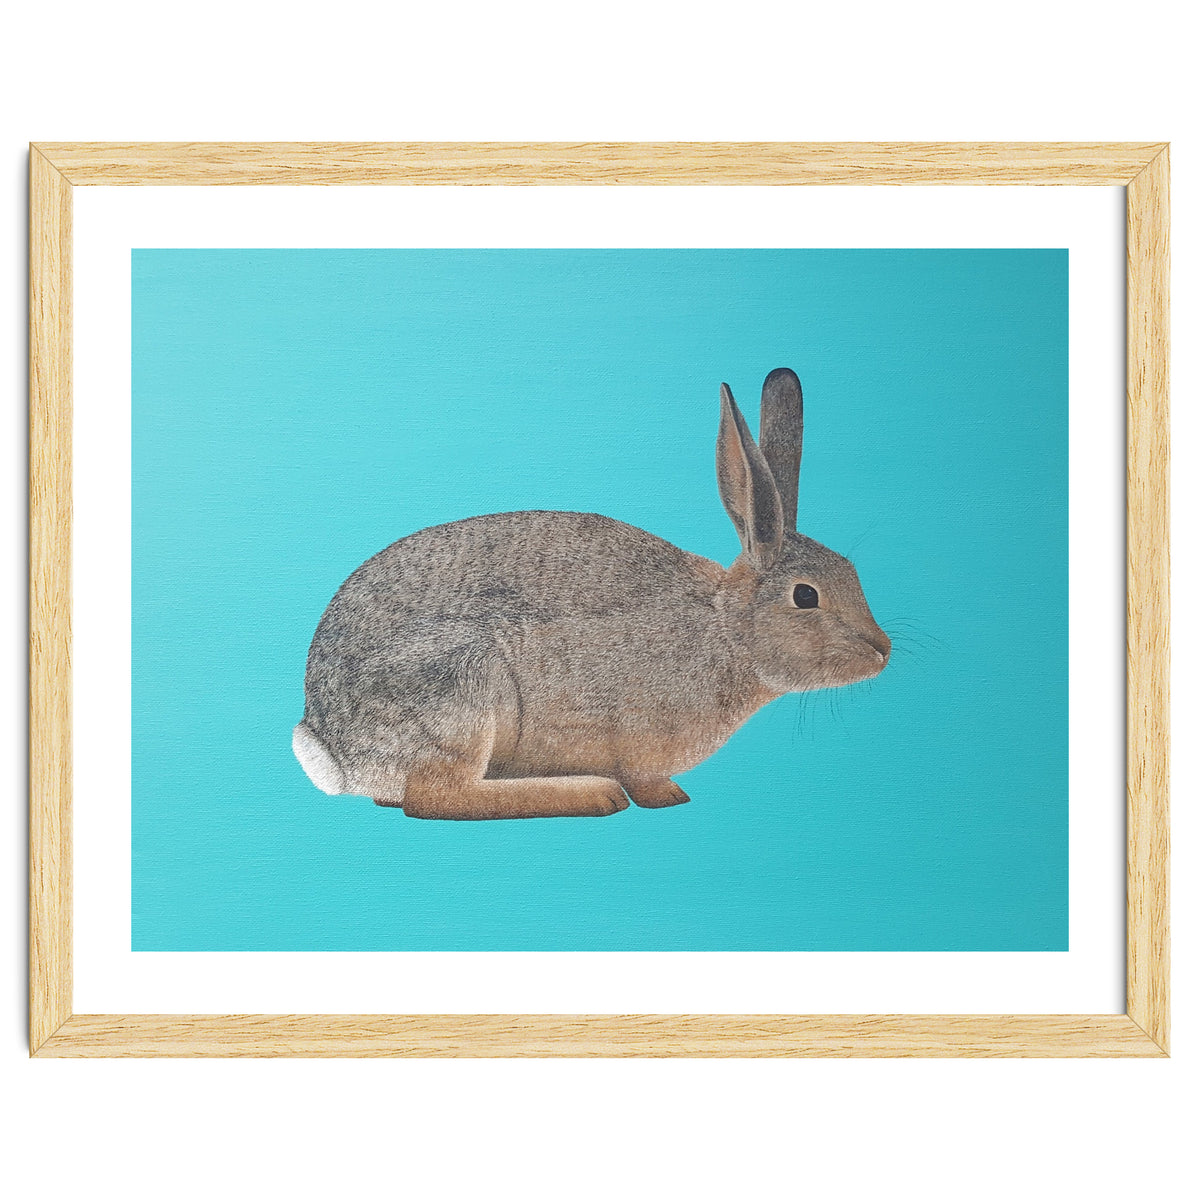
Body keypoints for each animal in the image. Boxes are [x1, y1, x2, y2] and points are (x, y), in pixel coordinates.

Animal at [293, 368, 890, 819]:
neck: (727, 629)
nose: (882, 650)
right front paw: (666, 797)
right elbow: (645, 780)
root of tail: (332, 746)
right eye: (806, 597)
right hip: (462, 684)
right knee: (435, 797)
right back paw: (592, 793)